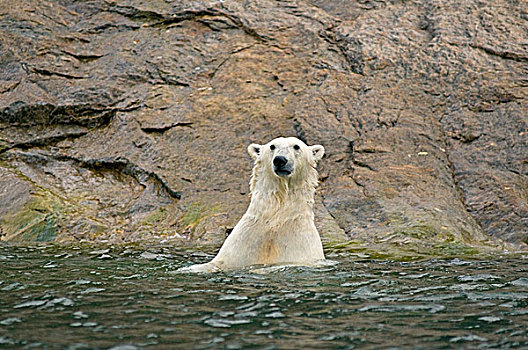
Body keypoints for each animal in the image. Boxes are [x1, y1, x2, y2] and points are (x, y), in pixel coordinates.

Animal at [179, 138, 324, 272]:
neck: (274, 220)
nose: (280, 160)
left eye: (296, 146)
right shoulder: (243, 244)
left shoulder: (299, 246)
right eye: (272, 146)